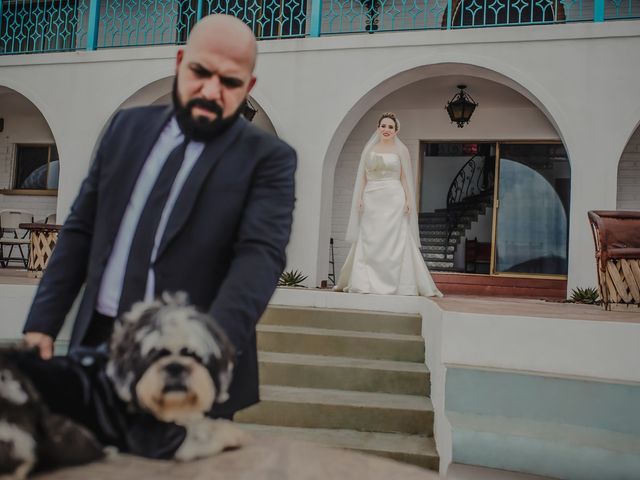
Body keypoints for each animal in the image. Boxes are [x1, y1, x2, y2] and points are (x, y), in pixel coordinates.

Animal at [0, 292, 249, 476]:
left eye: (193, 355)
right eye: (153, 355)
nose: (175, 367)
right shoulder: (153, 438)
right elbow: (202, 430)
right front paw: (230, 432)